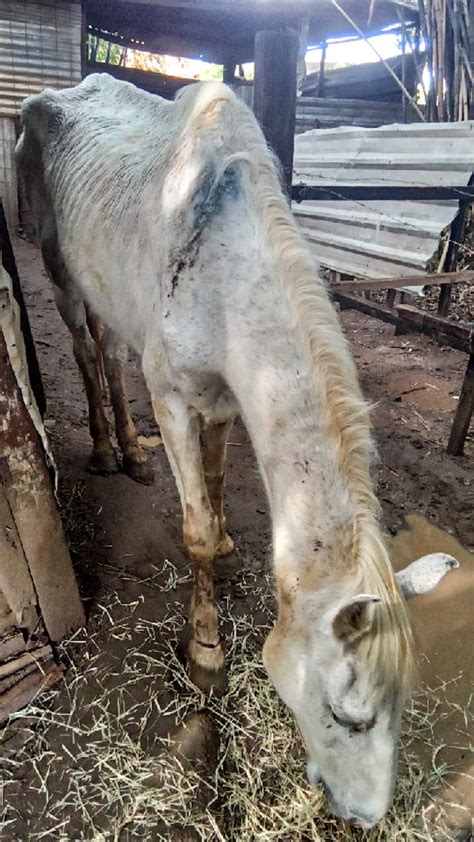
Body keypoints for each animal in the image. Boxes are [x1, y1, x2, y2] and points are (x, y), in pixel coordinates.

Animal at [15, 79, 460, 828]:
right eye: (348, 714)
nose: (366, 817)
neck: (223, 268)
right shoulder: (173, 398)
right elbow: (194, 528)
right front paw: (205, 651)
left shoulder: (223, 400)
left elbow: (220, 485)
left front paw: (224, 545)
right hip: (60, 276)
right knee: (82, 345)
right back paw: (106, 451)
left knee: (110, 351)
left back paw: (132, 454)